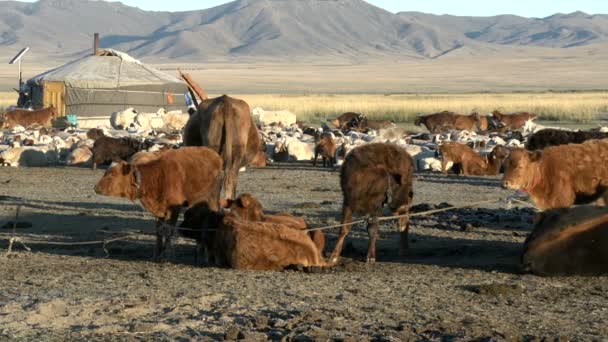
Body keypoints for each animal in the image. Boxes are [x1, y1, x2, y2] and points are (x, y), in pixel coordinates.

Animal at [92, 147, 221, 260]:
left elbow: (168, 231)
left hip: (212, 198)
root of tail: (214, 155)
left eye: (112, 174)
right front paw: (157, 253)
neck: (156, 176)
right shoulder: (159, 210)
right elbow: (159, 231)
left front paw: (167, 255)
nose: (95, 188)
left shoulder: (174, 209)